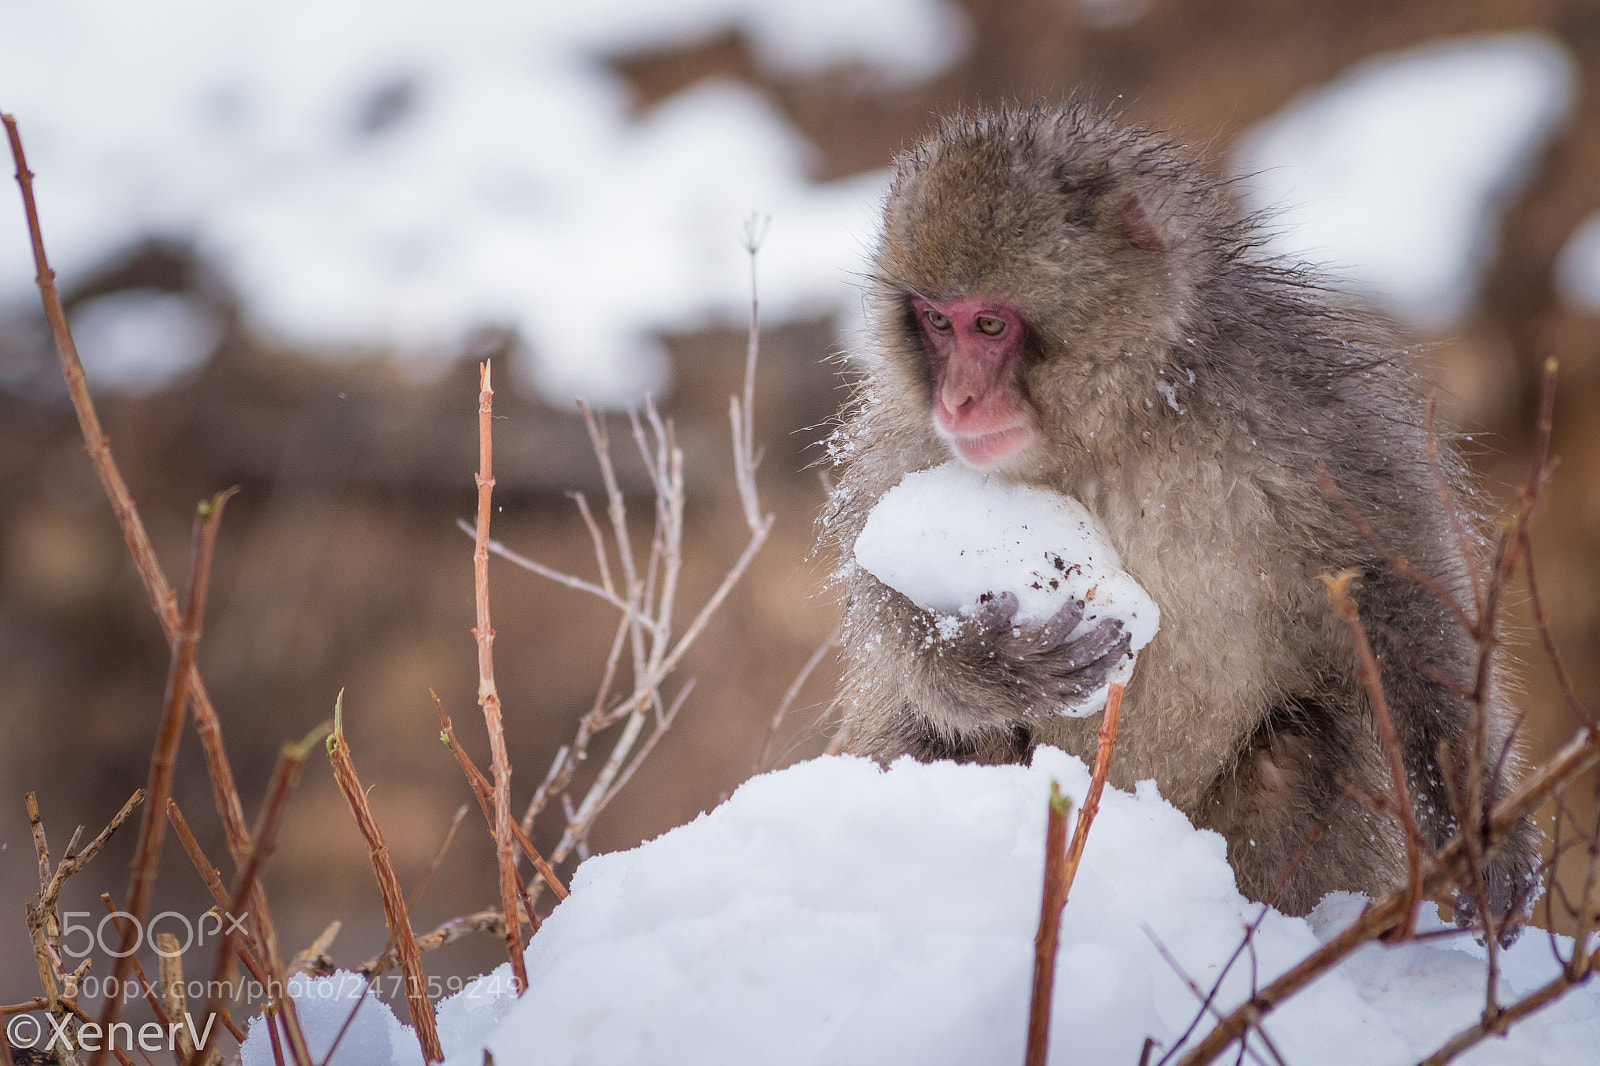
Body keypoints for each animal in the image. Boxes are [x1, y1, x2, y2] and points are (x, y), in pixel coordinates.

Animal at [821, 104, 1540, 923]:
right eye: (937, 323)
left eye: (990, 326)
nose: (959, 402)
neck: (1119, 421)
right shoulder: (902, 443)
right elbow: (886, 606)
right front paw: (988, 665)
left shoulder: (1306, 410)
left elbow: (1397, 594)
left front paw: (1480, 829)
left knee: (1298, 749)